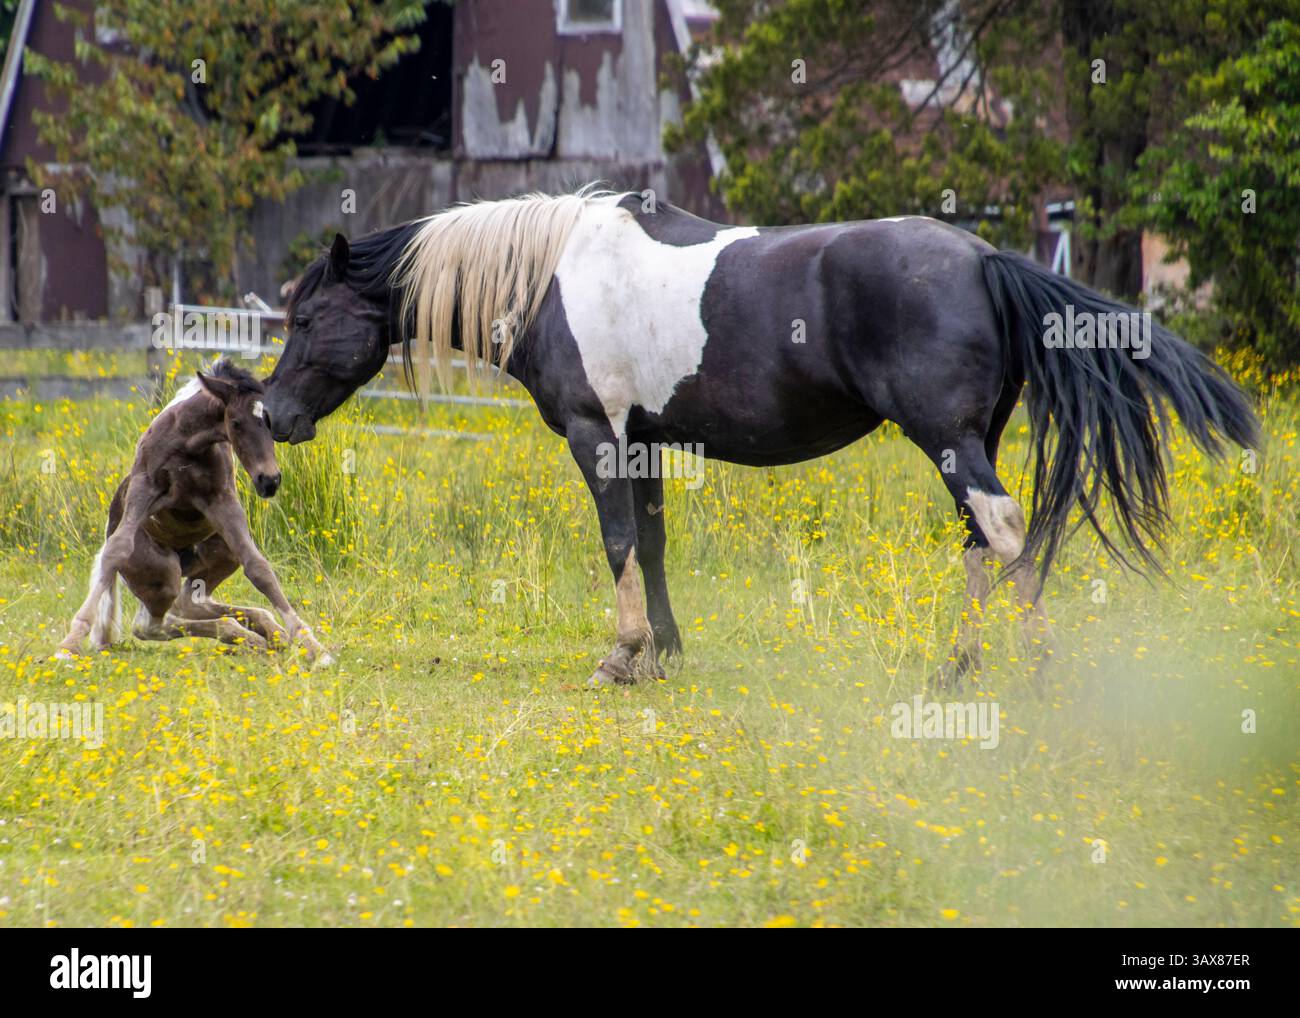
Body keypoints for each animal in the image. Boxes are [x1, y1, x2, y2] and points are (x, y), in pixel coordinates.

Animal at [55, 359, 333, 666]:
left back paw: (264, 633)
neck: (188, 443)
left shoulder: (222, 500)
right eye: (236, 423)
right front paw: (68, 644)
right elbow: (116, 549)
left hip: (221, 553)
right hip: (161, 574)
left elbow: (259, 568)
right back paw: (247, 635)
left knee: (187, 603)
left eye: (270, 423)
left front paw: (314, 647)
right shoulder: (143, 486)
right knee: (150, 624)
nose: (269, 480)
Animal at [261, 188, 1257, 687]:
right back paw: (959, 668)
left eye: (306, 317)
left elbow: (616, 541)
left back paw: (1039, 669)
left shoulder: (596, 435)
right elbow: (652, 541)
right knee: (982, 536)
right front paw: (663, 651)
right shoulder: (644, 441)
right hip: (968, 441)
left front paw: (621, 656)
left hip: (947, 439)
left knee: (1005, 529)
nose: (272, 416)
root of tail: (982, 258)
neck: (553, 275)